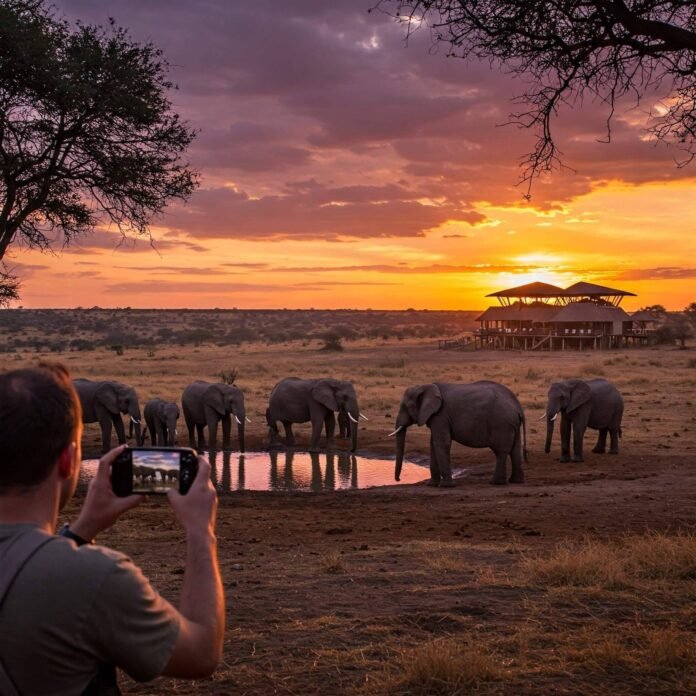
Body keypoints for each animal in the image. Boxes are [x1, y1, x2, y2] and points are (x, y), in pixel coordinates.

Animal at [391, 381, 528, 487]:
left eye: (406, 407)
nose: (398, 479)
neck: (423, 386)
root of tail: (518, 406)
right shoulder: (436, 417)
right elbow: (433, 444)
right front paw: (432, 485)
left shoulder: (441, 415)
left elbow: (442, 443)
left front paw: (446, 486)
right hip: (512, 423)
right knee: (515, 450)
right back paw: (516, 481)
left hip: (501, 423)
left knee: (501, 451)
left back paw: (495, 483)